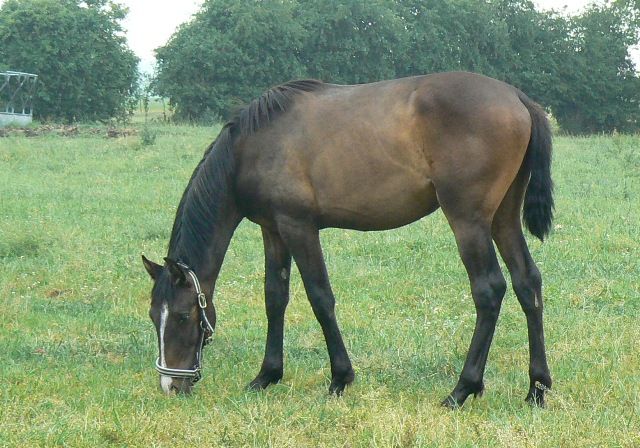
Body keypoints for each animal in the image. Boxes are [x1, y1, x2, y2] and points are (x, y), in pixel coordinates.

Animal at [142, 71, 552, 410]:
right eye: (152, 315)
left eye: (182, 315)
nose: (171, 385)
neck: (253, 145)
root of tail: (517, 97)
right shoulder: (273, 230)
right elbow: (275, 298)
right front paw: (267, 375)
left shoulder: (299, 227)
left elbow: (320, 298)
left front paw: (340, 378)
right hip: (502, 219)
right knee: (527, 283)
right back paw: (537, 388)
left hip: (468, 221)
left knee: (489, 290)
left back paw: (462, 389)